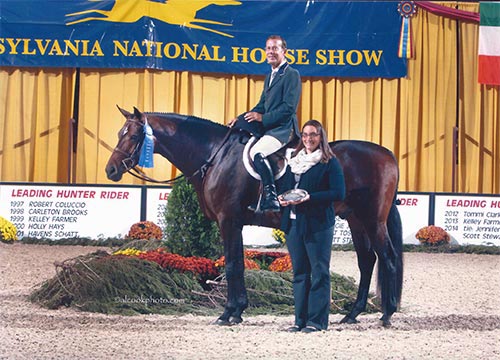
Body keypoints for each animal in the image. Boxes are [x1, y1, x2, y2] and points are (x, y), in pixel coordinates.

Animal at [104, 106, 402, 326]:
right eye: (120, 133)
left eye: (133, 136)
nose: (110, 170)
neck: (215, 155)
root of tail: (388, 154)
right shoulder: (232, 222)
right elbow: (236, 264)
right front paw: (237, 311)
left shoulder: (228, 221)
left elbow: (232, 265)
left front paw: (228, 313)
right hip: (356, 220)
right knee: (367, 261)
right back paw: (352, 314)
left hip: (373, 220)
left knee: (387, 258)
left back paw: (386, 315)